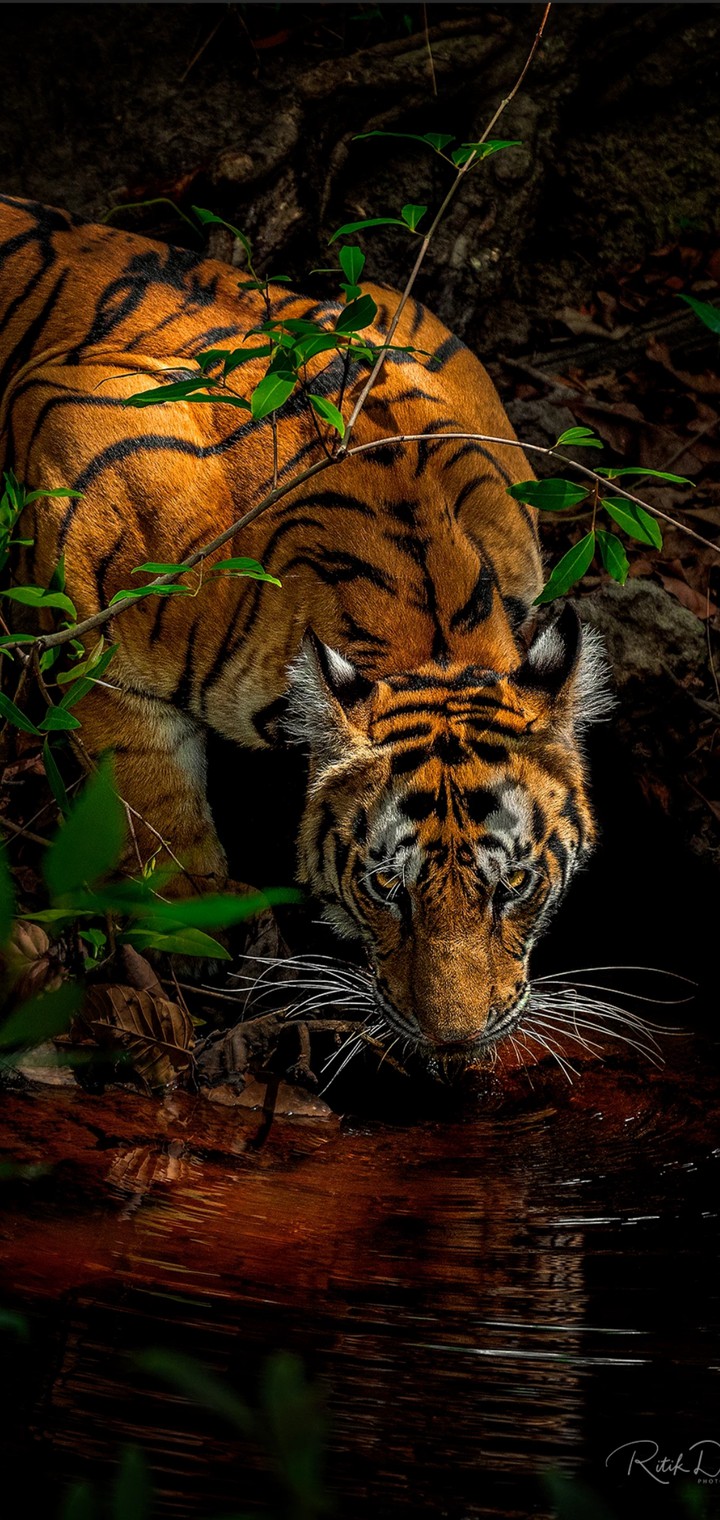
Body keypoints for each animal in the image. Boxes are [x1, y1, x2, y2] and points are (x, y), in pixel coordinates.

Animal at [0, 194, 611, 1058]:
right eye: (387, 889)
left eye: (515, 886)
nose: (455, 1041)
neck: (429, 637)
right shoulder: (76, 484)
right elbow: (145, 791)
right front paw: (194, 918)